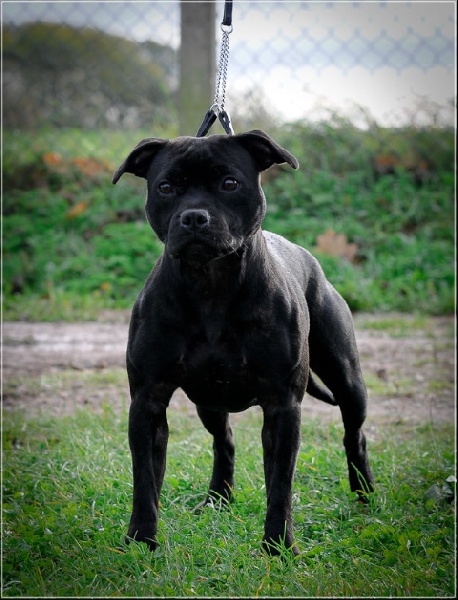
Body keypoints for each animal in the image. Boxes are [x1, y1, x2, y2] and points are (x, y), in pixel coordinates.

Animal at [112, 130, 374, 556]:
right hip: (208, 400)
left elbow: (280, 484)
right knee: (225, 441)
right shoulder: (147, 402)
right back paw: (218, 499)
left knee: (355, 436)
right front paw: (141, 540)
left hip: (348, 381)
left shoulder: (283, 407)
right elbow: (145, 481)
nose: (194, 217)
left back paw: (364, 493)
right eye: (165, 187)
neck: (211, 286)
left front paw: (278, 547)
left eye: (230, 183)